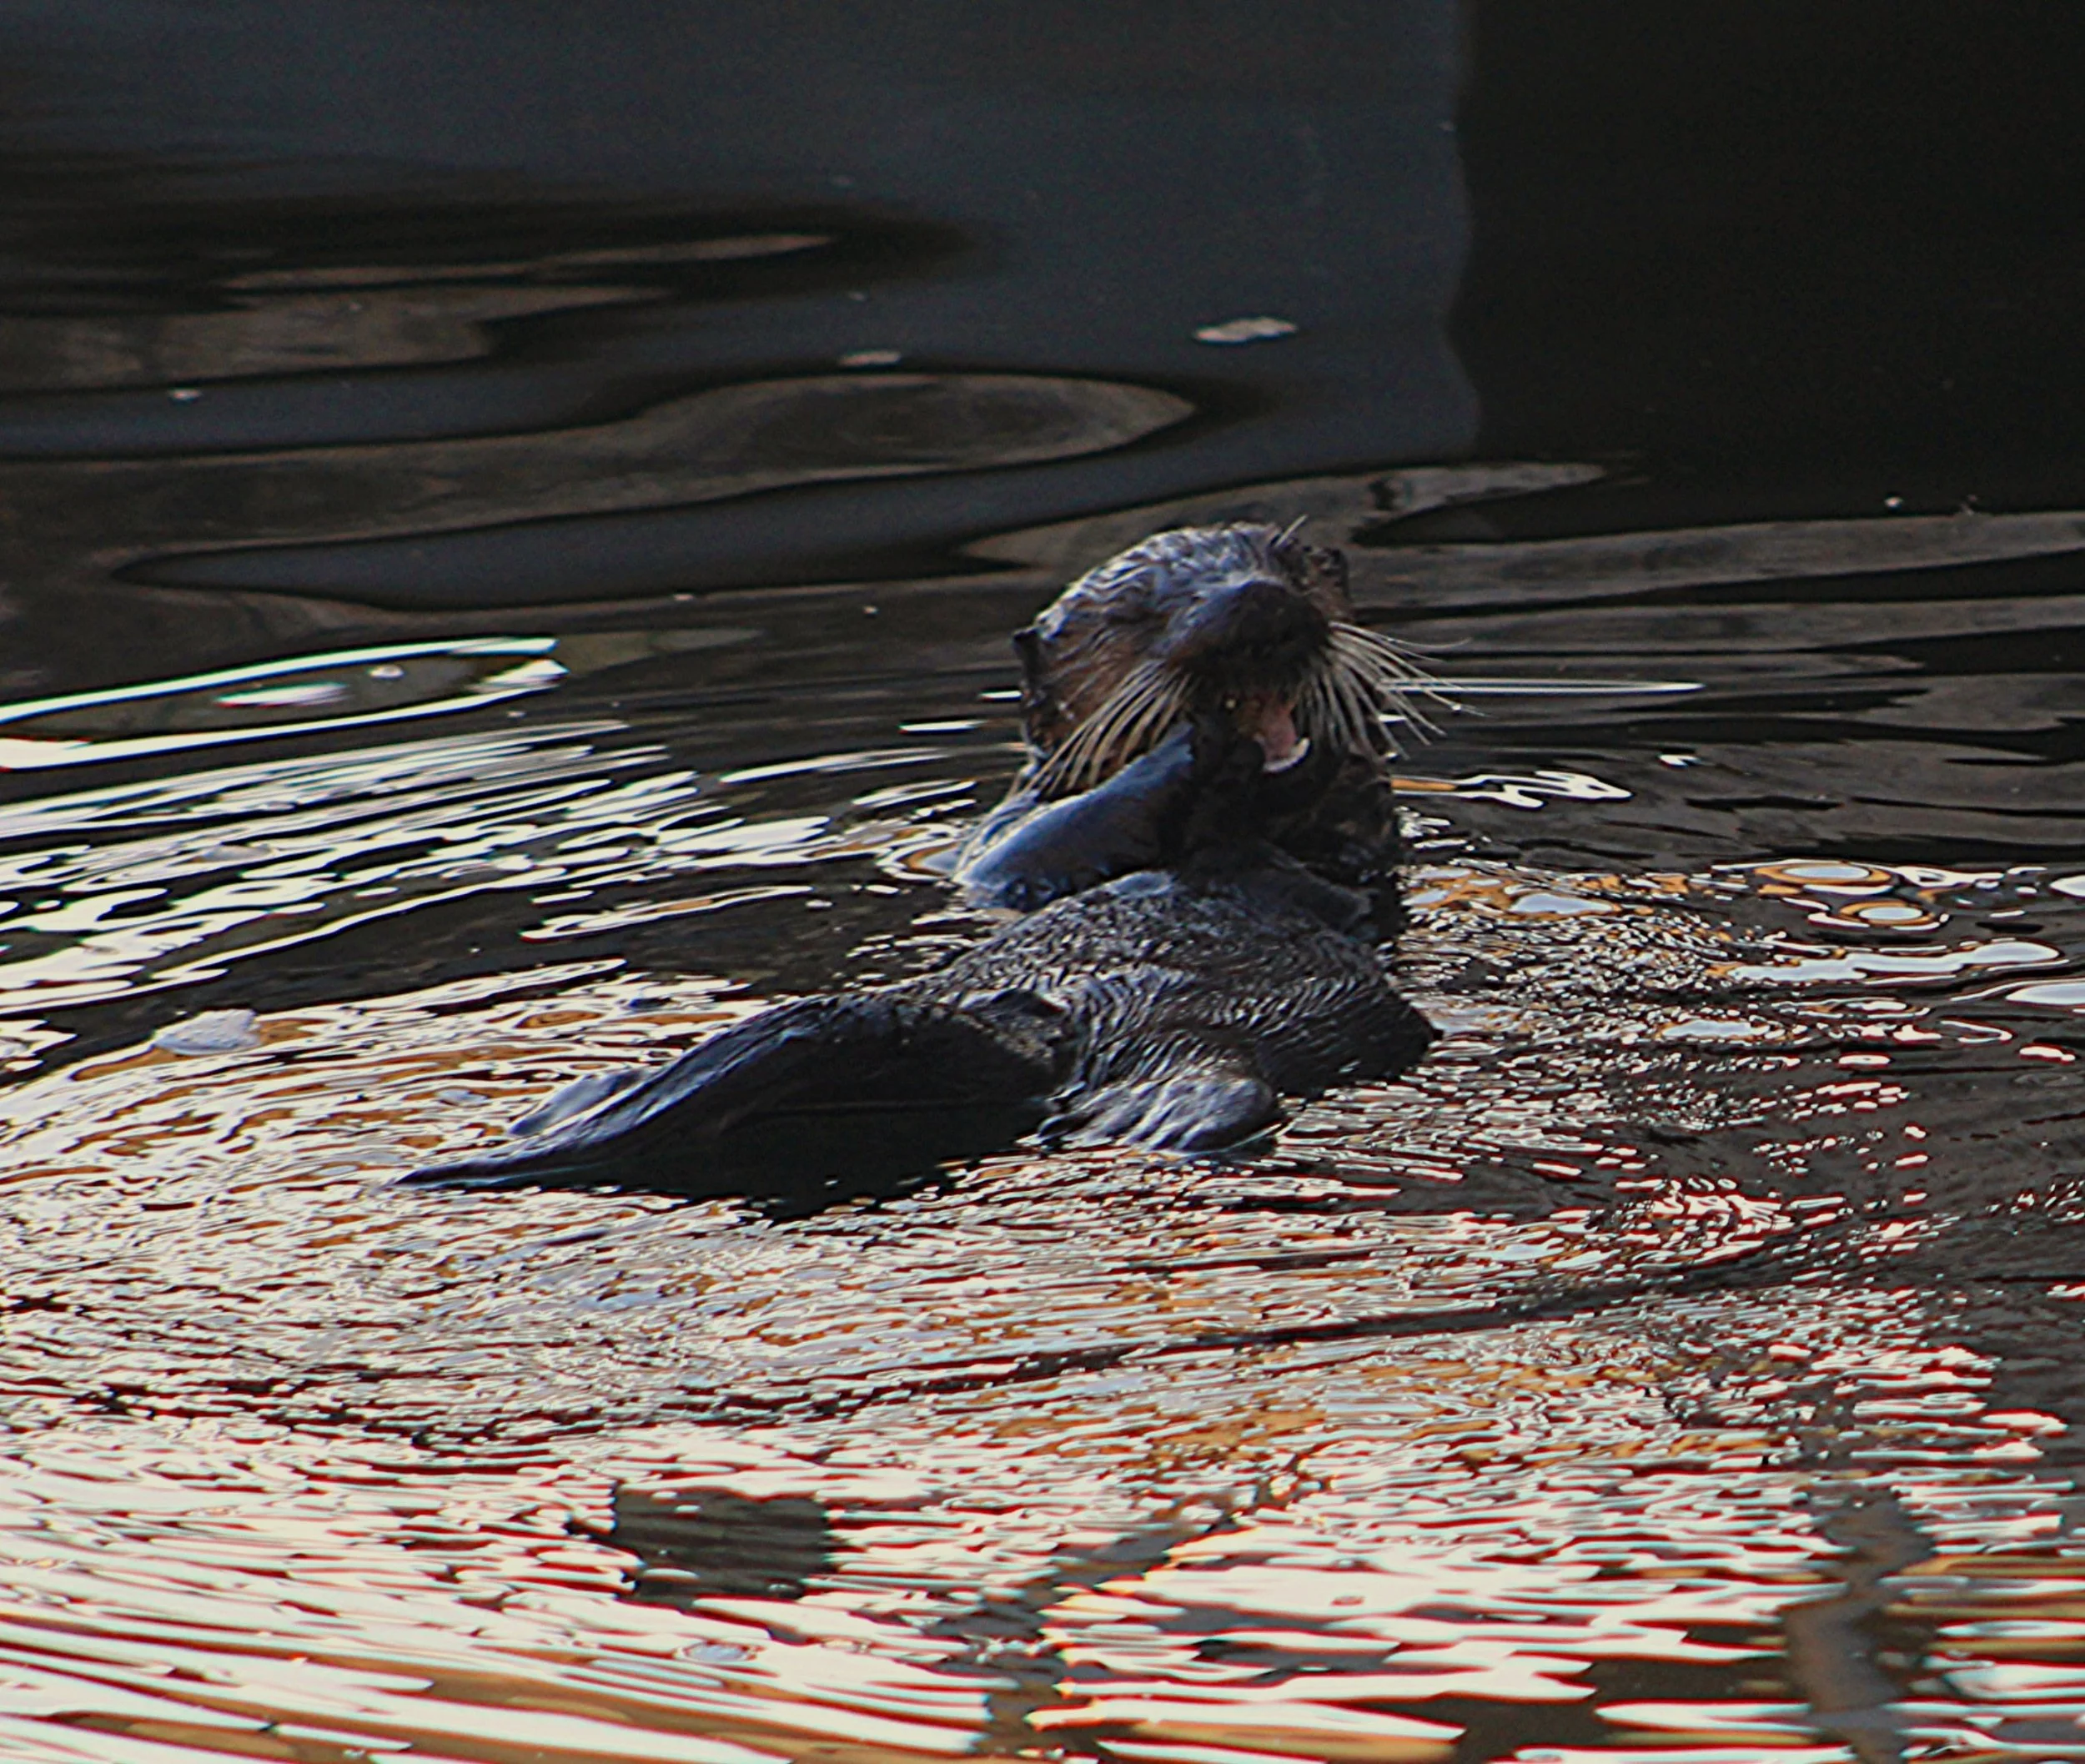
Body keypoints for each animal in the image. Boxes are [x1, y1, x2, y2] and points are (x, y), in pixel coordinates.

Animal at [407, 524, 1441, 1196]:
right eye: (1141, 614)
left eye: (1289, 567)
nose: (1255, 602)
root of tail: (1029, 1022)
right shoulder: (998, 845)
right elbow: (1046, 838)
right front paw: (1194, 746)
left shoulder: (1363, 853)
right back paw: (575, 1099)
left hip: (1220, 1028)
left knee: (1201, 1067)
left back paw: (1165, 1116)